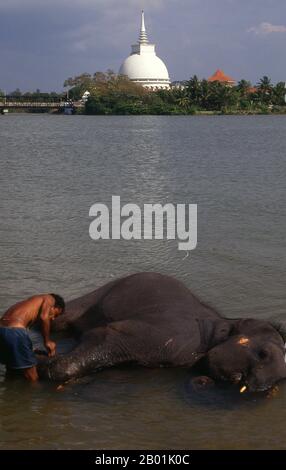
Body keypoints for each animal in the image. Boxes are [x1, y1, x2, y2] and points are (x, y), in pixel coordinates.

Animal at [38, 272, 286, 392]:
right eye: (263, 354)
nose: (250, 385)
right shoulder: (173, 335)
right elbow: (106, 334)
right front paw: (44, 367)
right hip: (97, 296)